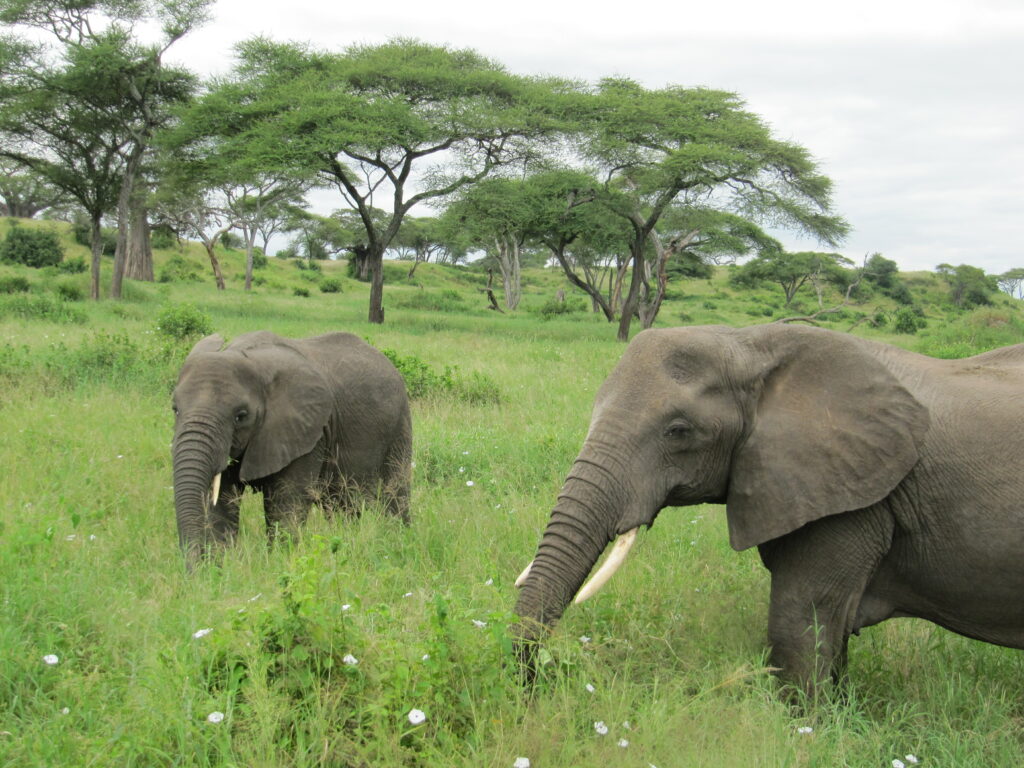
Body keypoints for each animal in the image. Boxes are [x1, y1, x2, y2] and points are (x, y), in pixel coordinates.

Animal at [169, 331, 409, 565]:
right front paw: (218, 569)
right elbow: (222, 504)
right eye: (175, 409)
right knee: (341, 506)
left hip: (399, 426)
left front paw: (278, 563)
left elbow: (286, 504)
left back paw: (397, 541)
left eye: (241, 416)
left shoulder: (308, 433)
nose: (194, 564)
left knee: (395, 494)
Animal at [512, 325, 1024, 696]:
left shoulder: (857, 497)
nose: (535, 687)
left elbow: (799, 619)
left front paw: (808, 731)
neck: (750, 345)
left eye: (678, 431)